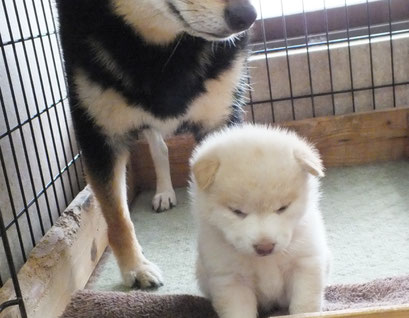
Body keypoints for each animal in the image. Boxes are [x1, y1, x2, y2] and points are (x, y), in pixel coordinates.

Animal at [57, 0, 255, 288]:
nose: (247, 16)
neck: (161, 49)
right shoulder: (99, 137)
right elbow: (117, 216)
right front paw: (135, 268)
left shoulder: (222, 116)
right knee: (159, 149)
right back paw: (164, 192)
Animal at [190, 125, 330, 318]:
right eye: (237, 211)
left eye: (283, 208)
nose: (265, 247)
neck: (265, 261)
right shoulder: (230, 281)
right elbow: (238, 312)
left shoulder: (305, 264)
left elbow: (304, 306)